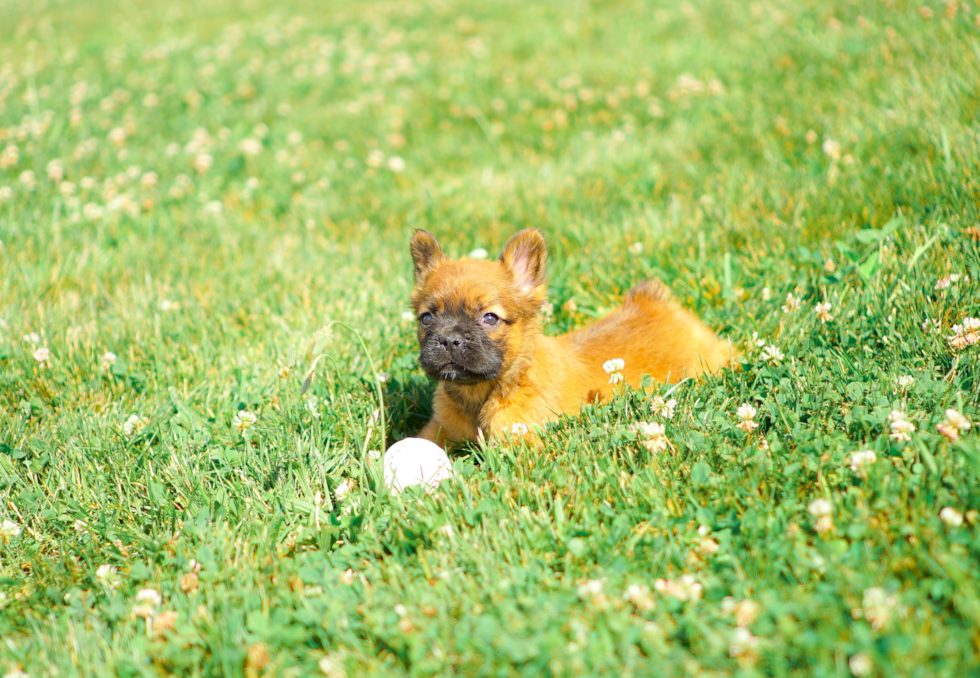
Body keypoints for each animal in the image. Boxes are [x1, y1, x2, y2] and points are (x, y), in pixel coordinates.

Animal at [410, 231, 732, 448]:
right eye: (426, 318)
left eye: (489, 318)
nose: (449, 340)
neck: (480, 395)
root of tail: (655, 302)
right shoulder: (438, 428)